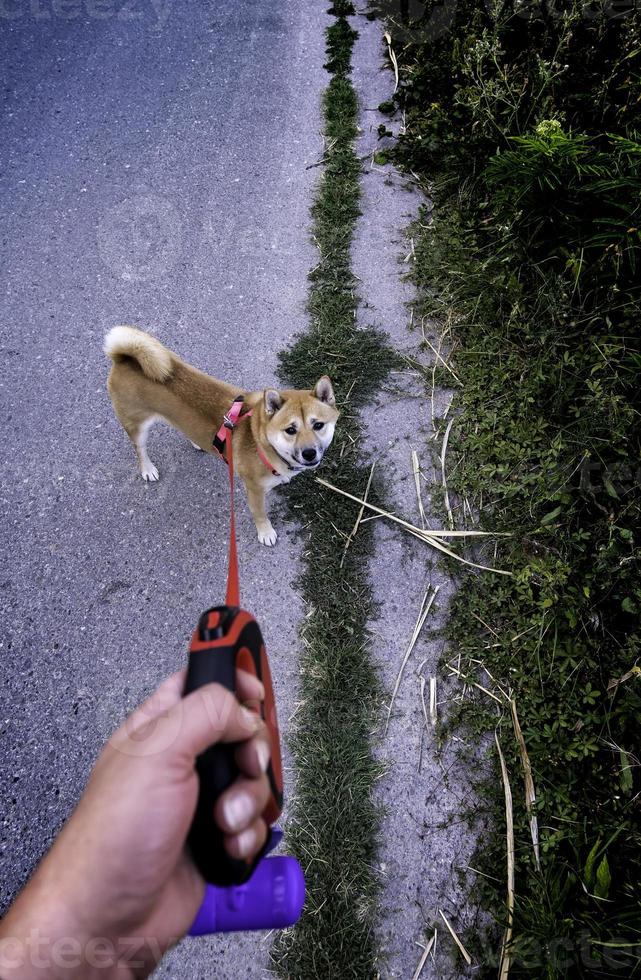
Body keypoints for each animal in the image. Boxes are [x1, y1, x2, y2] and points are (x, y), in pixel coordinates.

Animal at [104, 328, 340, 544]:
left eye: (318, 425)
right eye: (290, 430)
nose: (309, 453)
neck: (262, 440)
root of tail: (124, 358)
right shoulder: (254, 490)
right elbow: (260, 515)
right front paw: (265, 533)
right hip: (136, 425)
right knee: (139, 449)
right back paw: (148, 469)